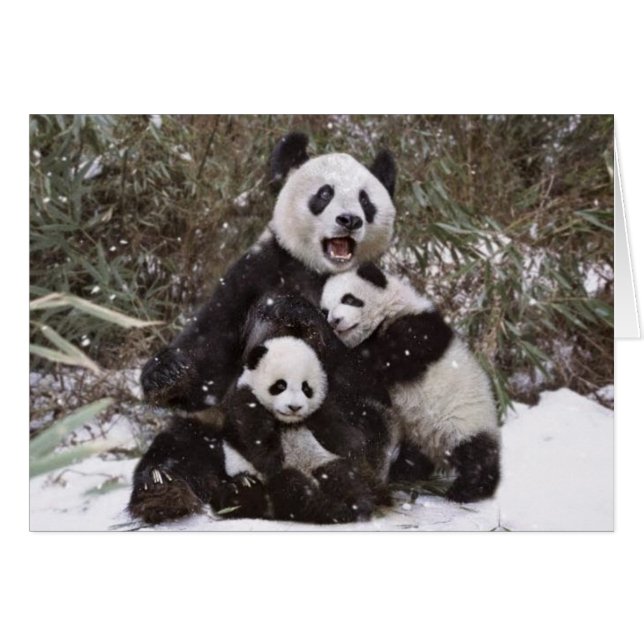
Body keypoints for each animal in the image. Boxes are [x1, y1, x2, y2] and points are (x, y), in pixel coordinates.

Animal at [320, 263, 501, 503]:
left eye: (349, 299)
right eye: (325, 311)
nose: (334, 321)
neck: (389, 312)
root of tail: (438, 448)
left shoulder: (417, 329)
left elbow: (391, 358)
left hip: (466, 417)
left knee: (476, 453)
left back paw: (469, 489)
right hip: (417, 436)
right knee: (413, 459)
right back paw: (402, 475)